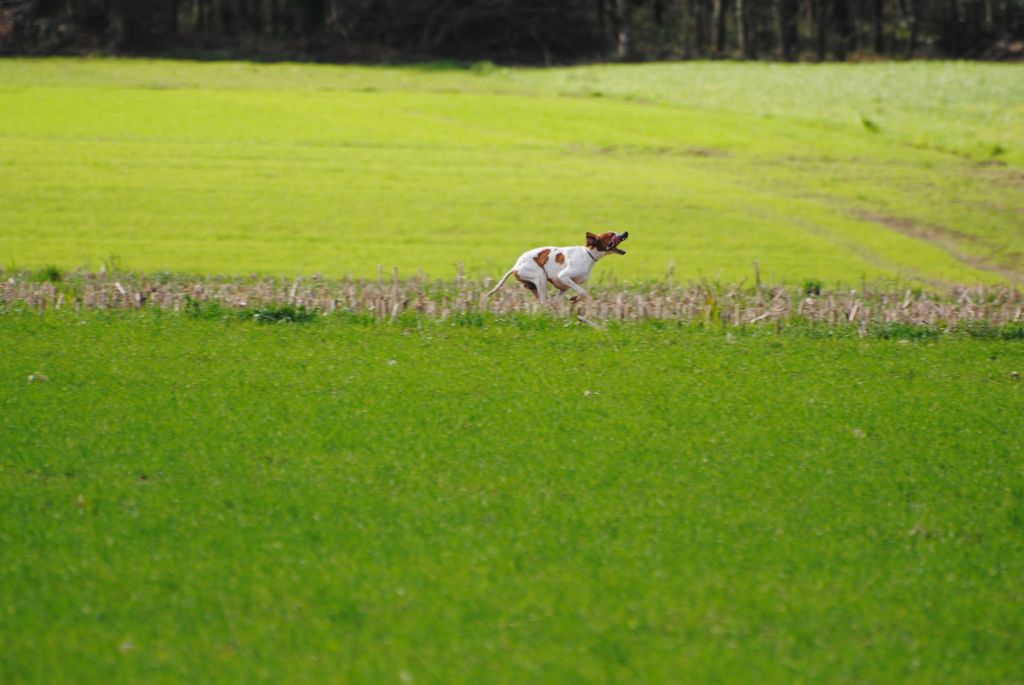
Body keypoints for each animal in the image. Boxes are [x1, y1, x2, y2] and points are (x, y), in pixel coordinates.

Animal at [485, 231, 626, 303]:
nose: (626, 233)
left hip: (534, 283)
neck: (588, 254)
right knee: (542, 301)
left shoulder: (564, 287)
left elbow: (559, 300)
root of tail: (516, 266)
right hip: (540, 277)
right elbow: (583, 291)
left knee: (538, 297)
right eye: (611, 235)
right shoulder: (563, 276)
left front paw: (574, 300)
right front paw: (575, 298)